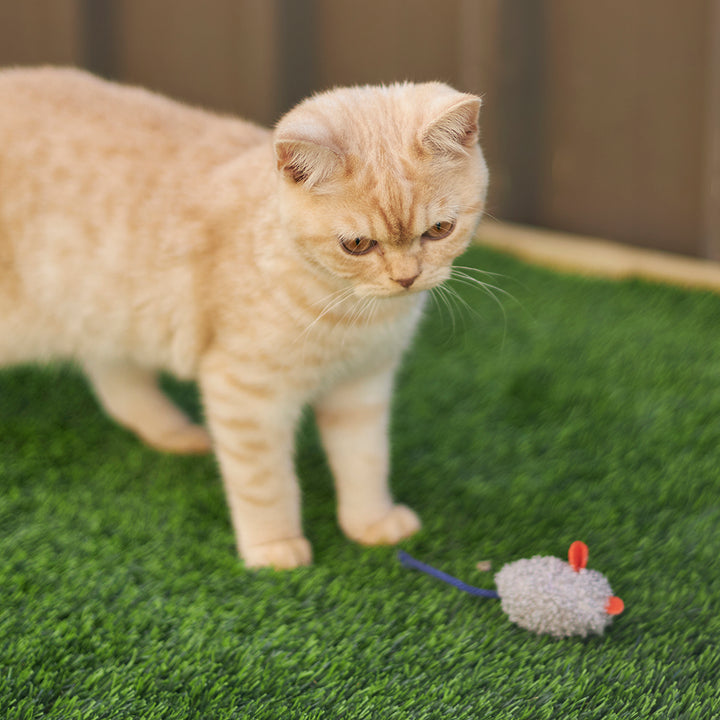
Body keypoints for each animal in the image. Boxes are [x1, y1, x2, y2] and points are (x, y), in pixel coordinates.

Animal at [0, 66, 490, 568]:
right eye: (357, 245)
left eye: (440, 230)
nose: (407, 278)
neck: (353, 316)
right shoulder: (245, 393)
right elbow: (264, 483)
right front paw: (274, 548)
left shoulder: (362, 387)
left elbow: (366, 460)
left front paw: (371, 522)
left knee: (116, 380)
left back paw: (175, 433)